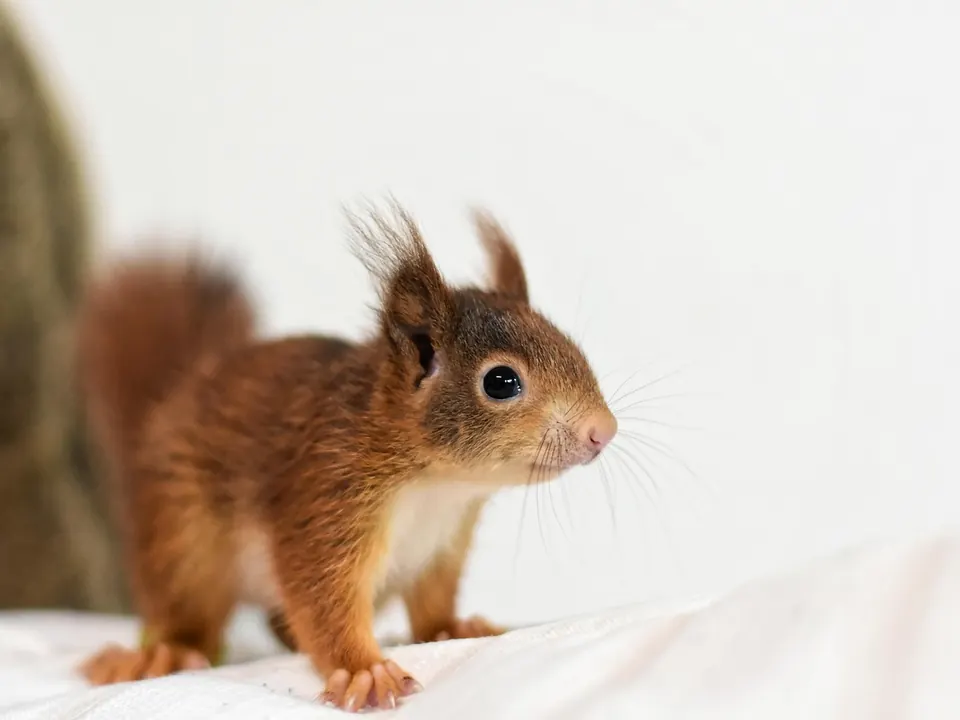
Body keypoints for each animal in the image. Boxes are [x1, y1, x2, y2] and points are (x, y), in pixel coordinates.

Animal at [74, 202, 618, 712]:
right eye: (501, 382)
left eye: (568, 343)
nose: (603, 432)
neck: (438, 484)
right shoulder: (326, 493)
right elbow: (322, 598)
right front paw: (364, 670)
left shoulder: (441, 543)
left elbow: (433, 599)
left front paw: (452, 628)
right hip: (182, 539)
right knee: (187, 614)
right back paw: (162, 652)